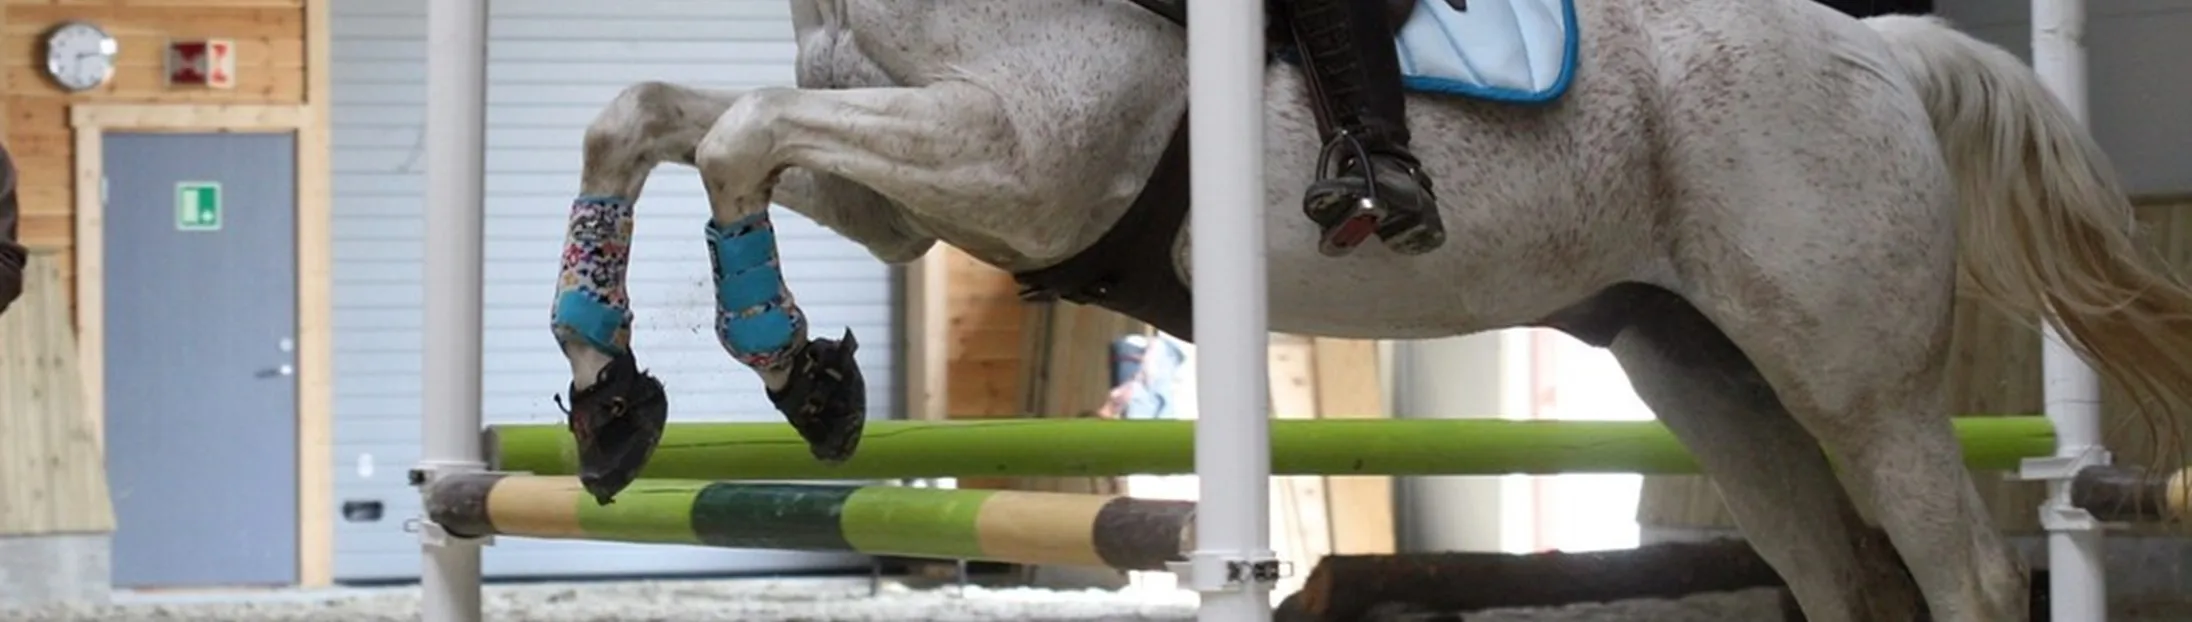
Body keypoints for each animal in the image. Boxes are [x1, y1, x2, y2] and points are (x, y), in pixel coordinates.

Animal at [545, 0, 2192, 620]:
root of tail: (1880, 44)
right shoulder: (918, 190)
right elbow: (652, 117)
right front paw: (614, 396)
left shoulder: (1024, 155)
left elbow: (736, 134)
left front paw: (792, 373)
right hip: (1707, 379)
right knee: (1834, 571)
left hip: (1856, 384)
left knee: (1960, 568)